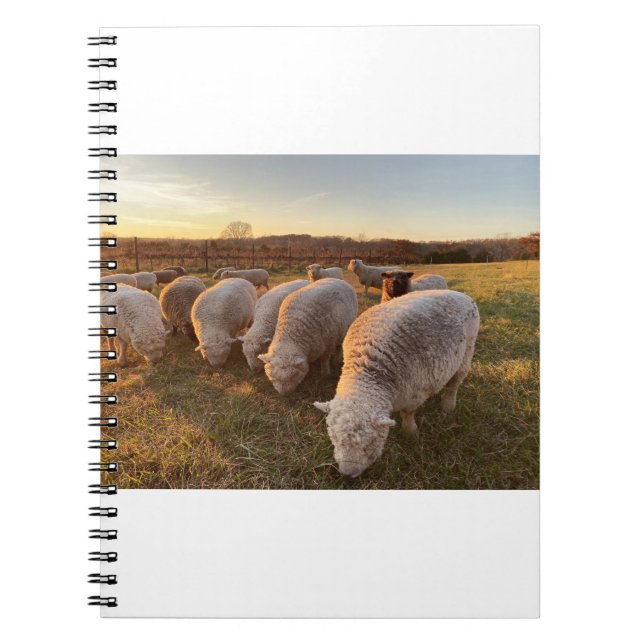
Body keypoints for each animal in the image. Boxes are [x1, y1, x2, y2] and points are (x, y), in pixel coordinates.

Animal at [313, 290, 480, 477]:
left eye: (368, 444)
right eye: (333, 439)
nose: (347, 474)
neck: (366, 370)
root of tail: (460, 294)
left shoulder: (413, 392)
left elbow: (408, 413)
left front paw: (411, 432)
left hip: (468, 349)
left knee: (454, 384)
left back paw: (448, 406)